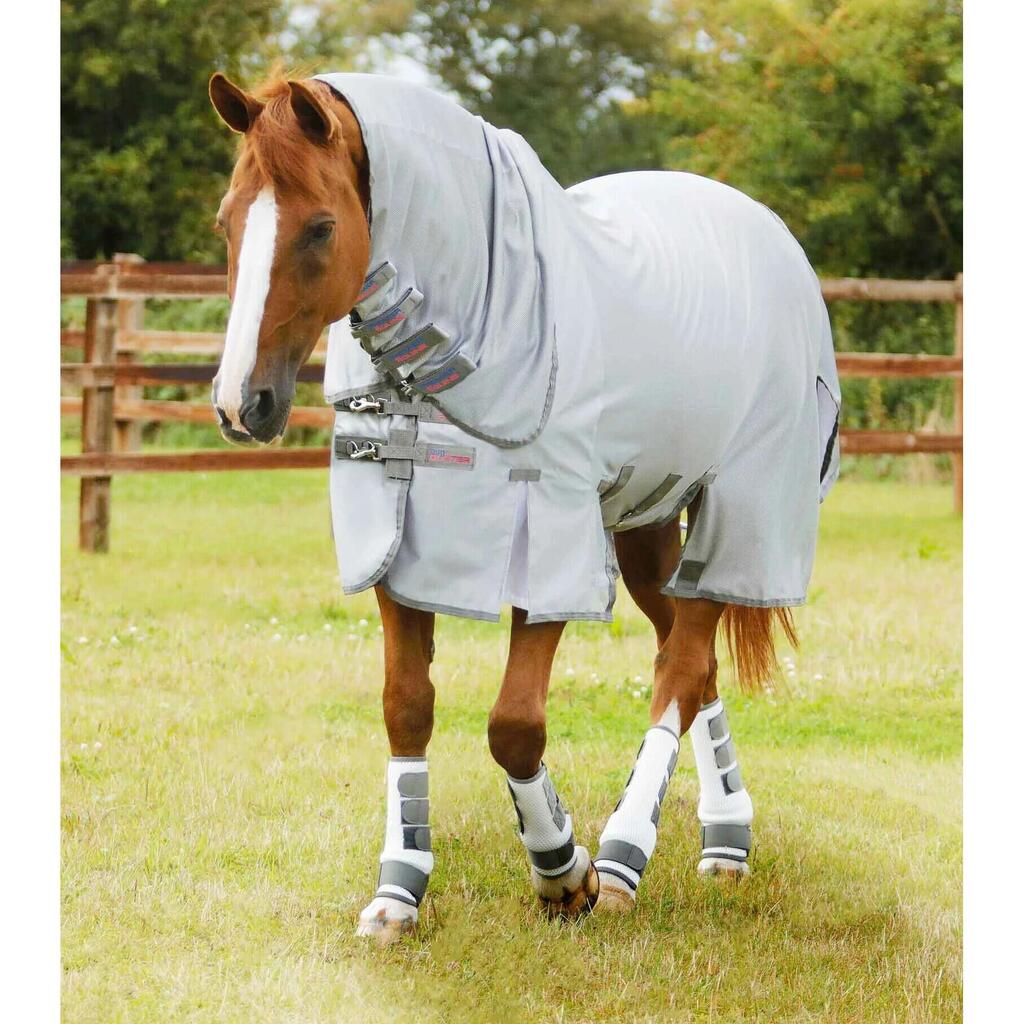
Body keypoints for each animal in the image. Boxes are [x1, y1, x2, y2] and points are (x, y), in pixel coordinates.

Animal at [208, 70, 841, 943]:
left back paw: (622, 859)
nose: (242, 405)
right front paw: (399, 889)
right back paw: (725, 839)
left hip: (742, 513)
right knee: (691, 660)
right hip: (647, 522)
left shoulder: (548, 541)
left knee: (683, 663)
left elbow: (513, 726)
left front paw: (563, 874)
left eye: (321, 227)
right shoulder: (399, 541)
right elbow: (406, 706)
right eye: (228, 222)